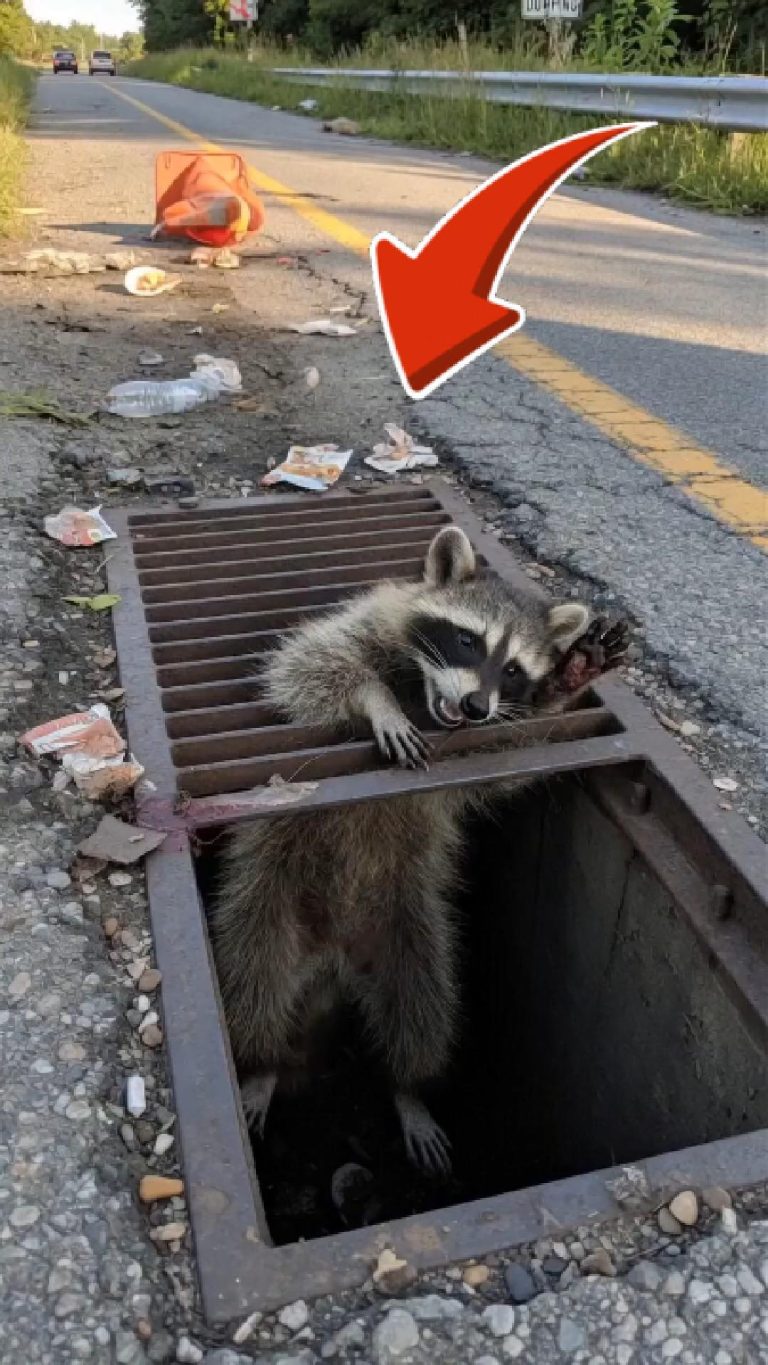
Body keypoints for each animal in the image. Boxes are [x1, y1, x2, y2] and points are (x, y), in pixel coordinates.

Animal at [212, 526, 628, 1174]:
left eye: (514, 669)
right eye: (467, 640)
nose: (478, 707)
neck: (426, 695)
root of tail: (335, 961)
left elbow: (500, 770)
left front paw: (567, 683)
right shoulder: (357, 630)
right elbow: (307, 665)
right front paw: (375, 699)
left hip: (410, 926)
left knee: (423, 1009)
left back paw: (407, 1088)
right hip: (270, 901)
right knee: (256, 982)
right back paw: (264, 1064)